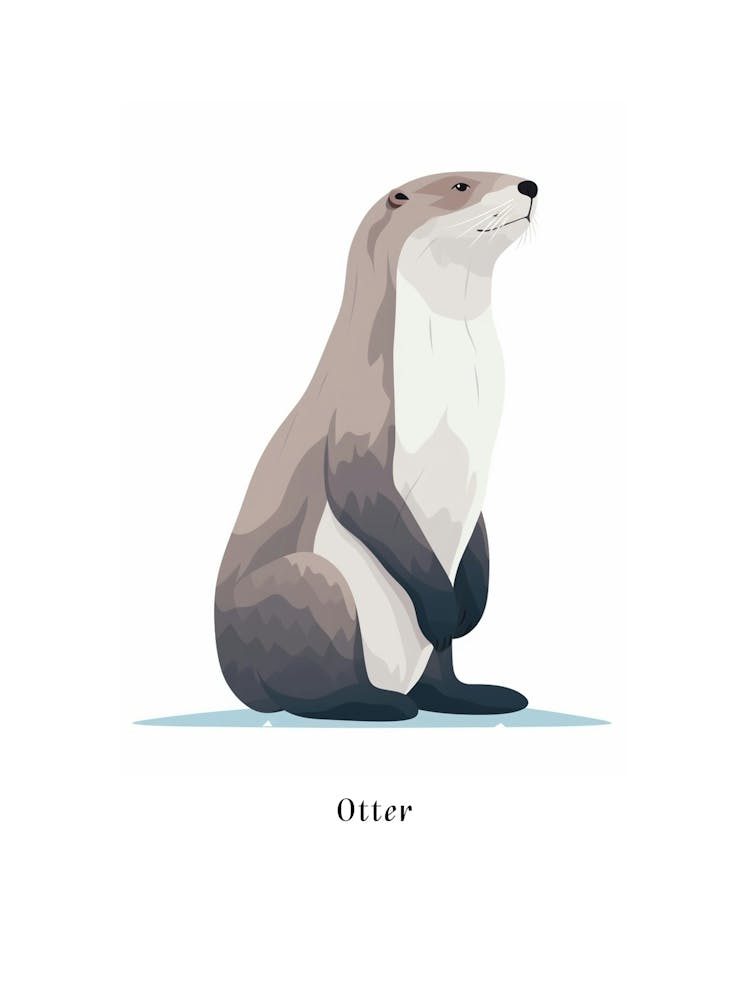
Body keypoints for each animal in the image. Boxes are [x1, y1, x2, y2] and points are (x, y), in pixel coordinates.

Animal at [215, 171, 537, 721]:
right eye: (461, 185)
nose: (530, 185)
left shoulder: (474, 477)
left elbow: (476, 531)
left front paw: (469, 611)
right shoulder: (358, 419)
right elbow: (360, 492)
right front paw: (444, 607)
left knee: (436, 669)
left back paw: (472, 697)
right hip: (311, 582)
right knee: (312, 685)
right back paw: (372, 704)